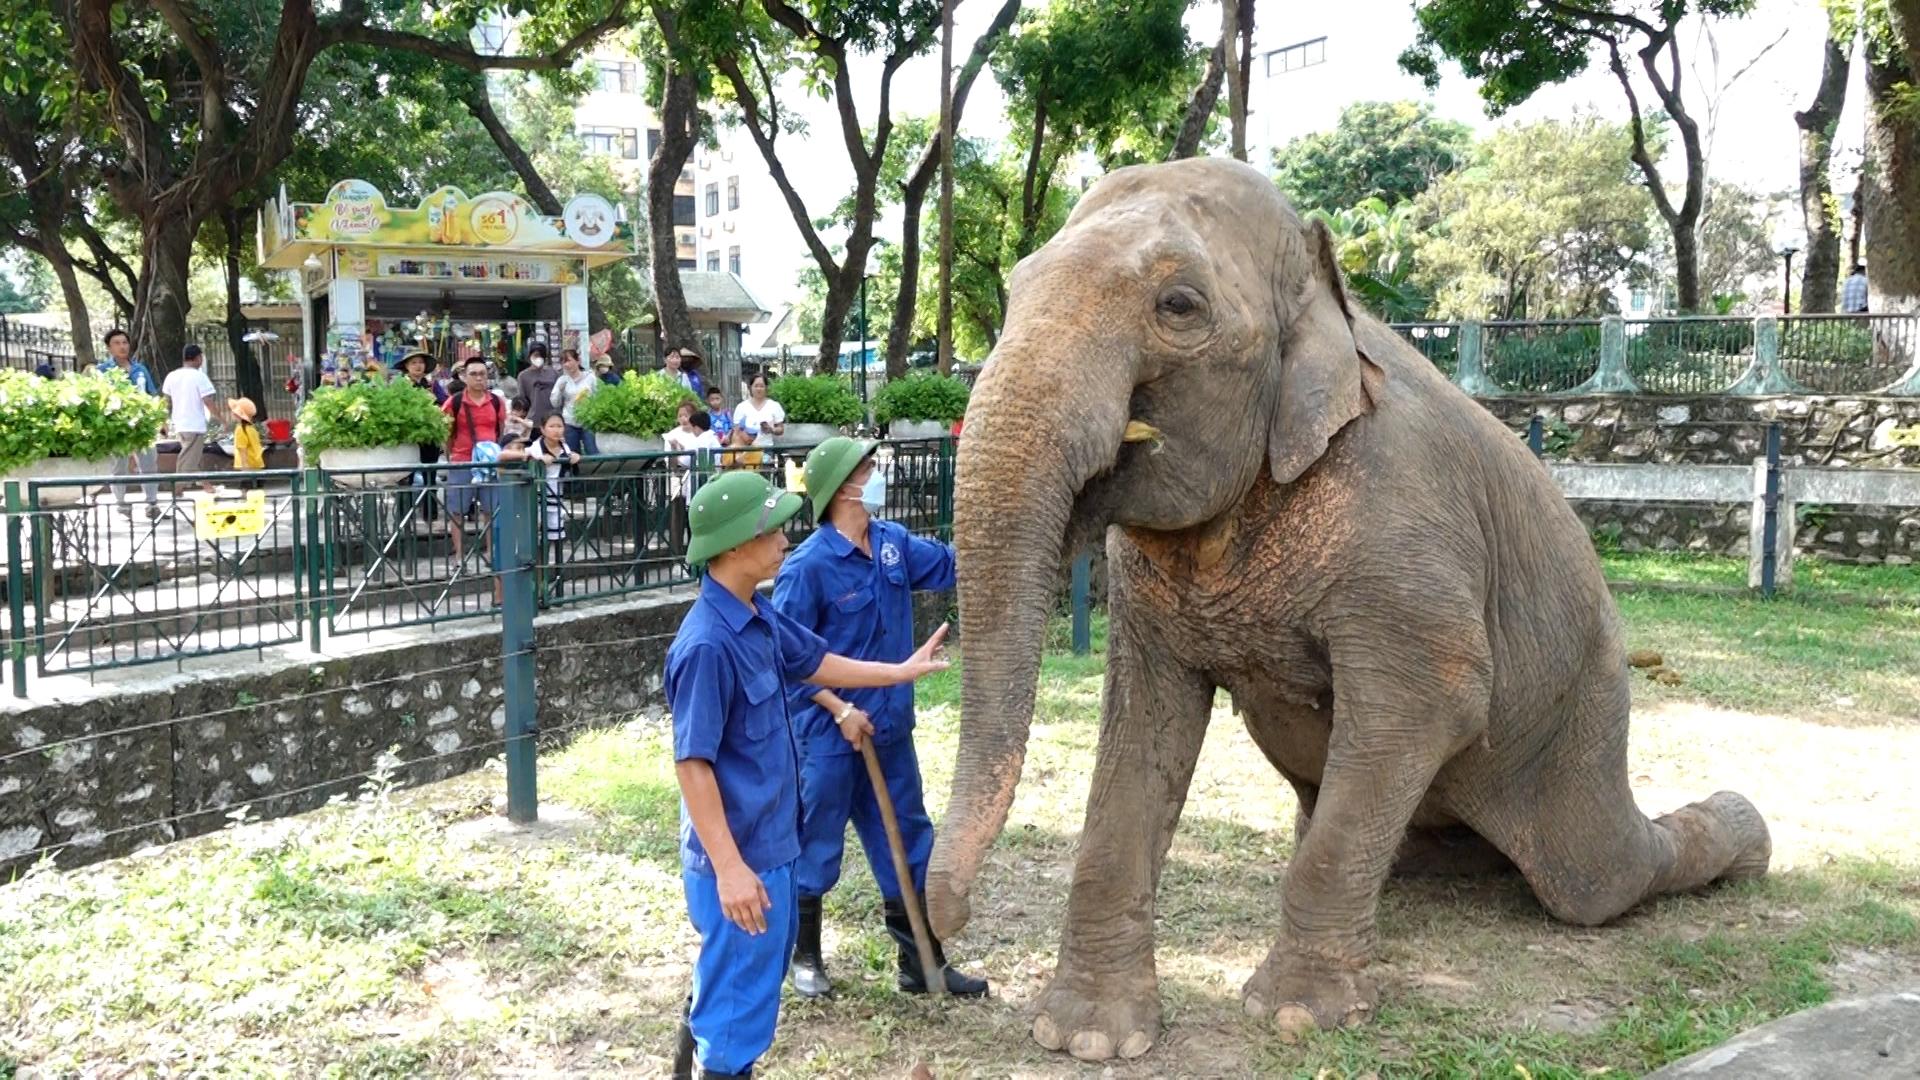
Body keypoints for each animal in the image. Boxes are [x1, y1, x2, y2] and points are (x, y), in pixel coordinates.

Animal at [921, 159, 1774, 1060]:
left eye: (1179, 306)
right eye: (1015, 288)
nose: (951, 936)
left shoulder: (1405, 523)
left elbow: (1429, 701)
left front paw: (1296, 1016)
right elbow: (1144, 725)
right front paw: (1085, 1036)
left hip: (1581, 732)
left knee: (1597, 876)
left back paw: (1743, 833)